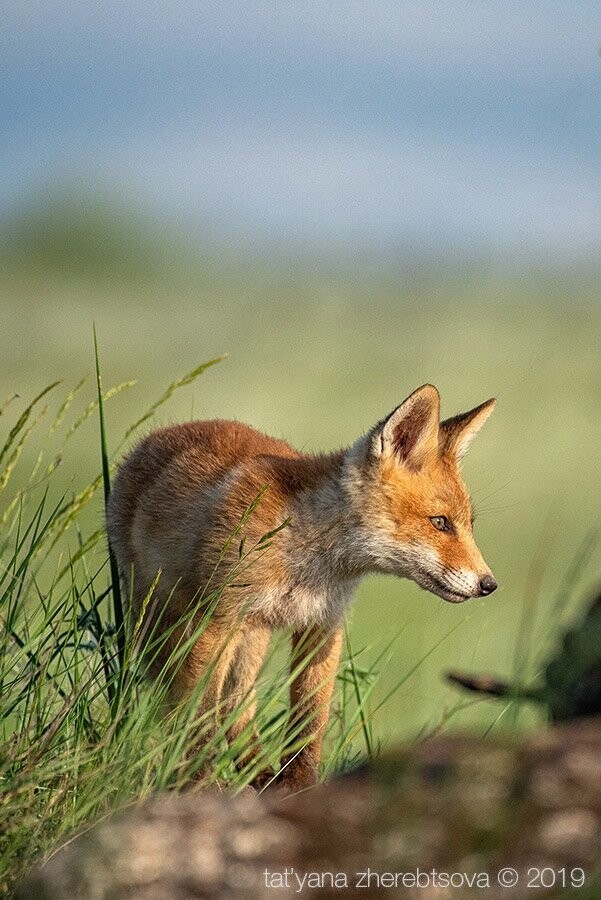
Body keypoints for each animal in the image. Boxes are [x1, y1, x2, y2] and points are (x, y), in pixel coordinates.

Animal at [106, 384, 496, 792]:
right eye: (440, 522)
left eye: (468, 525)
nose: (489, 584)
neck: (309, 563)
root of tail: (160, 434)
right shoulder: (214, 620)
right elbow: (198, 716)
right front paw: (197, 783)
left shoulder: (323, 625)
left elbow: (310, 720)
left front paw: (299, 785)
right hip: (160, 619)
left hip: (251, 638)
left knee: (238, 708)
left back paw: (258, 771)